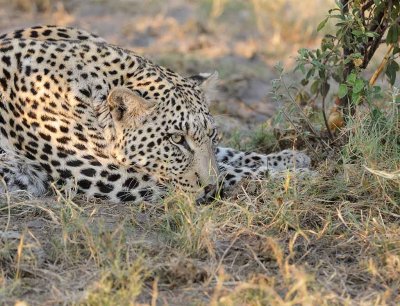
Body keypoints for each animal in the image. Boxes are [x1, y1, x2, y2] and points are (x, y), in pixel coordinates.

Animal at [0, 25, 312, 203]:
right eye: (176, 139)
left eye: (211, 133)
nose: (209, 188)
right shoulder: (98, 172)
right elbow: (227, 170)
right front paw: (293, 177)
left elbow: (226, 155)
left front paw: (289, 160)